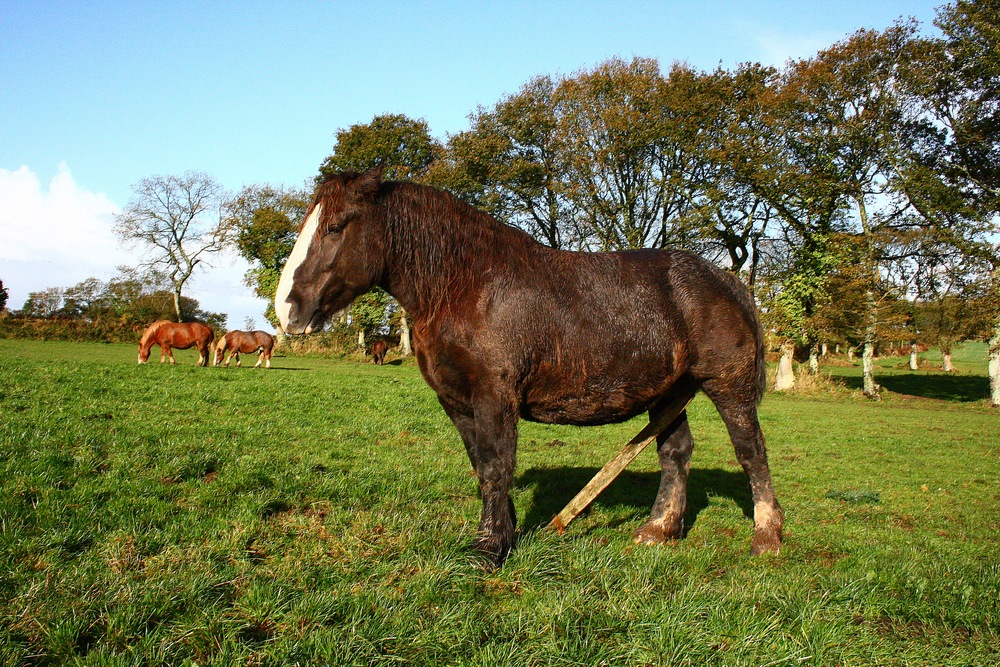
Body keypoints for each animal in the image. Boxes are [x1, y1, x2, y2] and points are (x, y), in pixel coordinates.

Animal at [272, 170, 780, 568]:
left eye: (335, 227)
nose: (287, 309)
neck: (466, 284)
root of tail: (725, 279)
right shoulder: (457, 401)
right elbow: (483, 466)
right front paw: (505, 531)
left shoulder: (495, 396)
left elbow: (498, 465)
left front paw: (489, 550)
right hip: (669, 392)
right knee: (675, 452)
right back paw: (658, 530)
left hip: (727, 386)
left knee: (751, 451)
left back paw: (766, 537)